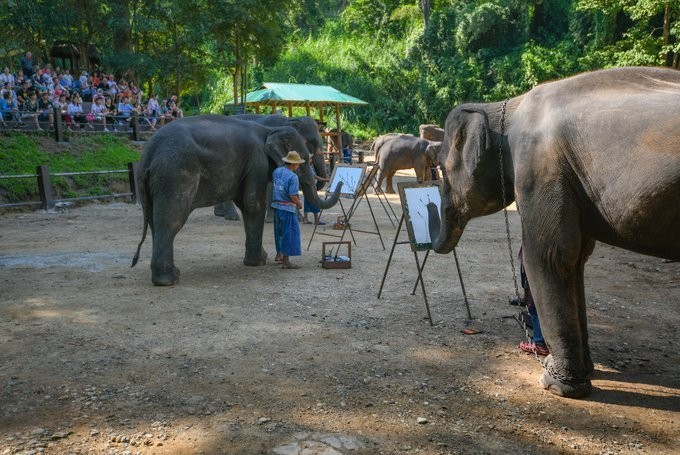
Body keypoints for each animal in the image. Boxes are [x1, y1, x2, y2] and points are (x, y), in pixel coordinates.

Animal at [132, 114, 342, 284]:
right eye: (305, 158)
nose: (338, 181)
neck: (270, 130)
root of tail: (147, 153)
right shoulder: (257, 161)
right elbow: (253, 204)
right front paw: (259, 262)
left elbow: (247, 202)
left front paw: (261, 259)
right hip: (175, 175)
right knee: (170, 220)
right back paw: (168, 280)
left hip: (154, 183)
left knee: (153, 221)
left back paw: (171, 274)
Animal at [430, 67, 680, 400]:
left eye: (442, 171)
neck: (505, 107)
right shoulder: (572, 182)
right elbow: (575, 262)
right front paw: (580, 372)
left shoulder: (539, 168)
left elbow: (549, 256)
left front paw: (556, 385)